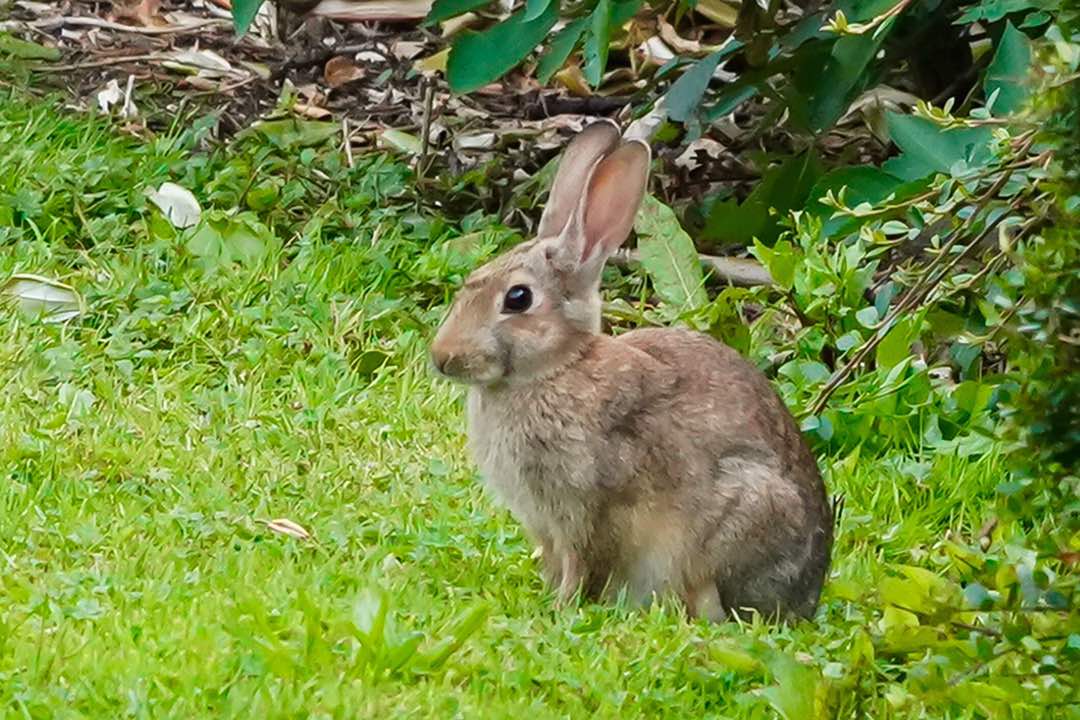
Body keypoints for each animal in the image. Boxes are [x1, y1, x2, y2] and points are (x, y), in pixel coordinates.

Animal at [429, 120, 833, 621]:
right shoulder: (545, 524)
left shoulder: (588, 510)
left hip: (736, 521)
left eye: (518, 298)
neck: (555, 369)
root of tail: (805, 598)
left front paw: (561, 609)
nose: (442, 357)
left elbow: (582, 563)